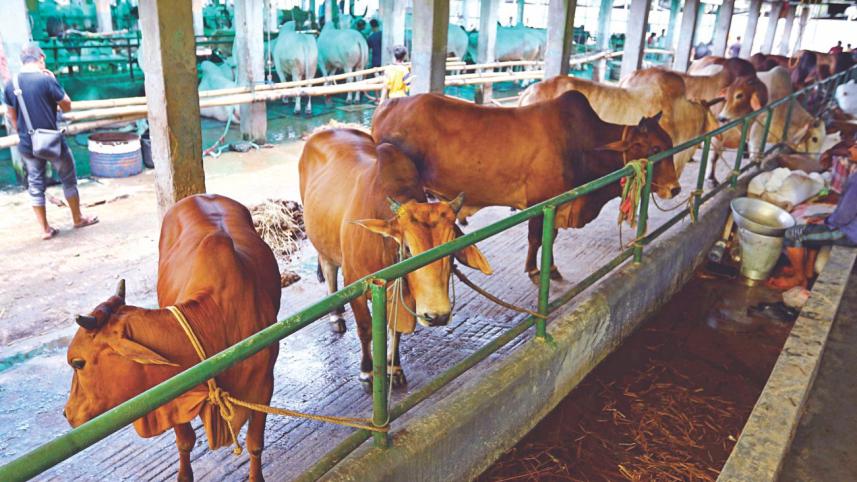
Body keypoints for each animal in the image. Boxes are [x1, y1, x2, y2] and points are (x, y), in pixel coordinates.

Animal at [64, 194, 281, 482]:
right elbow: (185, 442)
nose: (67, 412)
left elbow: (255, 444)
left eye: (78, 363)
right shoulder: (171, 393)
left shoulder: (264, 386)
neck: (216, 321)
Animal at [299, 128, 492, 388]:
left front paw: (394, 366)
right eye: (408, 249)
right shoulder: (355, 285)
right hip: (321, 243)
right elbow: (366, 329)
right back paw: (335, 316)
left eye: (452, 248)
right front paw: (367, 371)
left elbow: (395, 329)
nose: (437, 316)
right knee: (329, 269)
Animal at [372, 92, 680, 283]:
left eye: (669, 143)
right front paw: (533, 270)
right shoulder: (540, 203)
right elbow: (537, 238)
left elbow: (550, 237)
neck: (583, 144)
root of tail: (388, 105)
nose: (675, 189)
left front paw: (551, 268)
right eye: (655, 148)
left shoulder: (556, 205)